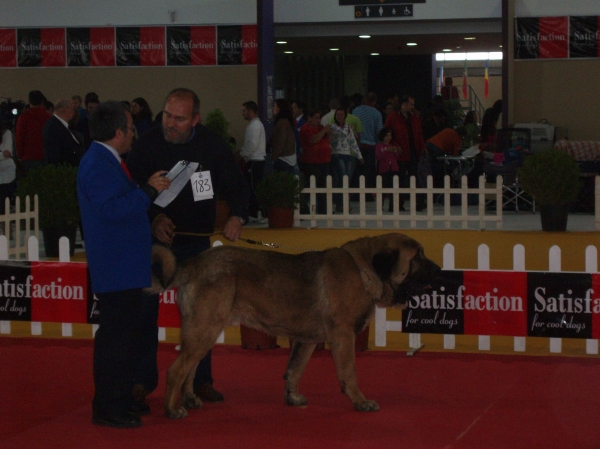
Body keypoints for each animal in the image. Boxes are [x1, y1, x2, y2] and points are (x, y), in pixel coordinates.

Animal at [150, 233, 440, 418]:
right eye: (417, 257)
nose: (439, 271)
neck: (363, 269)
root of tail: (194, 263)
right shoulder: (343, 335)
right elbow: (349, 373)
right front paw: (360, 401)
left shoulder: (306, 340)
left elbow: (294, 370)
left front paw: (292, 397)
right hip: (205, 329)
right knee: (176, 370)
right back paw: (172, 410)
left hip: (204, 331)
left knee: (190, 367)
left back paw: (190, 399)